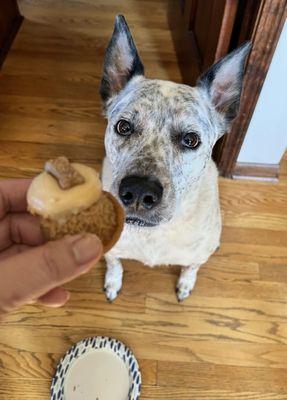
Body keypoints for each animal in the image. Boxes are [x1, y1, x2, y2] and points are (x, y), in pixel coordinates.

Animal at [99, 16, 252, 304]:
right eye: (123, 127)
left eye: (191, 140)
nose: (138, 192)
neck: (154, 234)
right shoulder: (111, 247)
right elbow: (114, 263)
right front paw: (113, 282)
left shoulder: (196, 257)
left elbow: (191, 268)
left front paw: (185, 285)